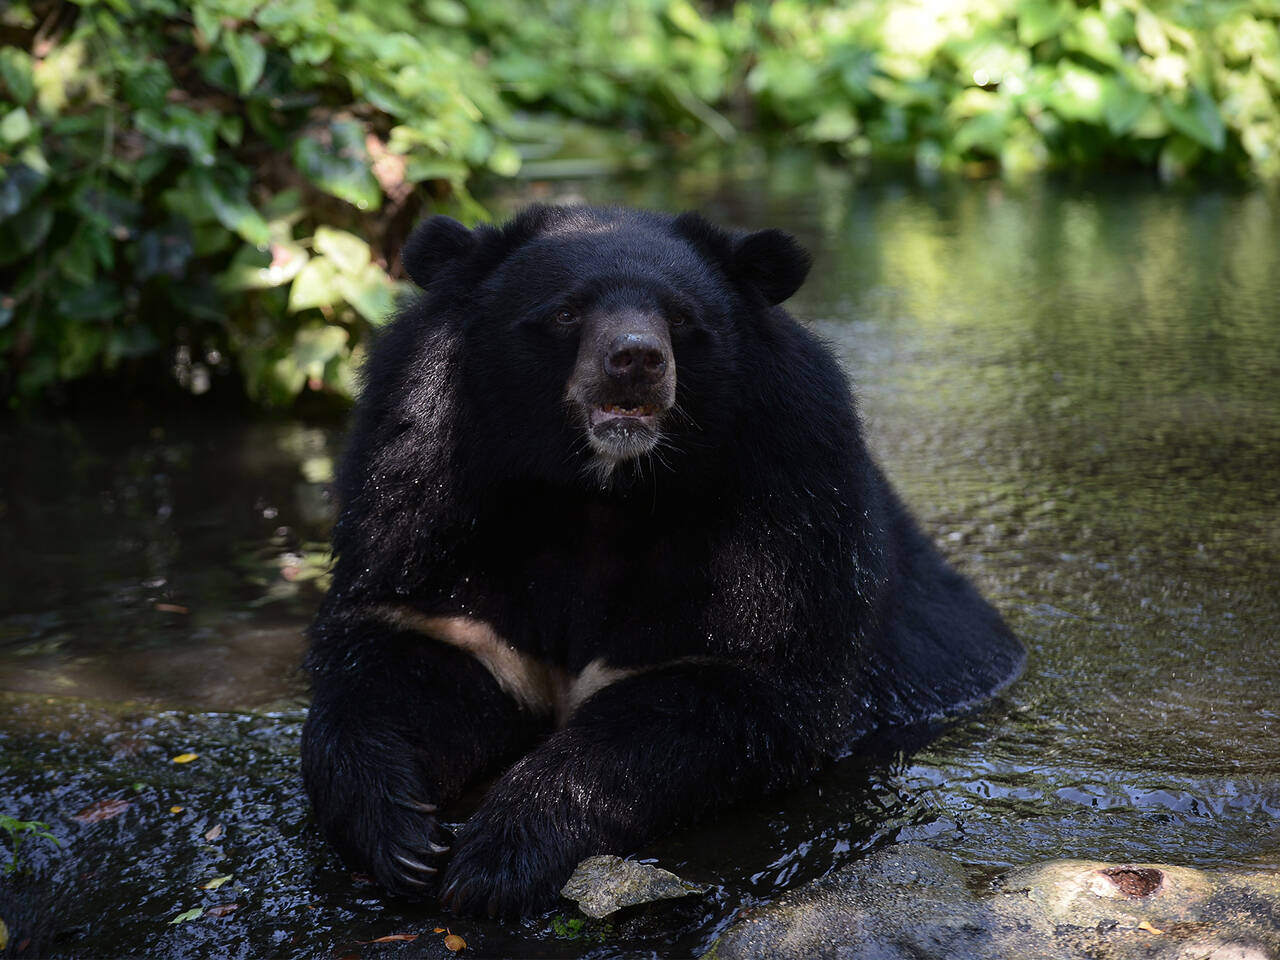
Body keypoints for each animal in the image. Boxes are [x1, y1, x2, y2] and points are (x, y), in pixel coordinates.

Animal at [296, 204, 1018, 916]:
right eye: (567, 312)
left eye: (680, 317)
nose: (635, 360)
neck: (596, 492)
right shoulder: (430, 502)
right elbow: (405, 658)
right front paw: (401, 838)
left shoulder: (782, 513)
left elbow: (728, 695)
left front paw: (499, 857)